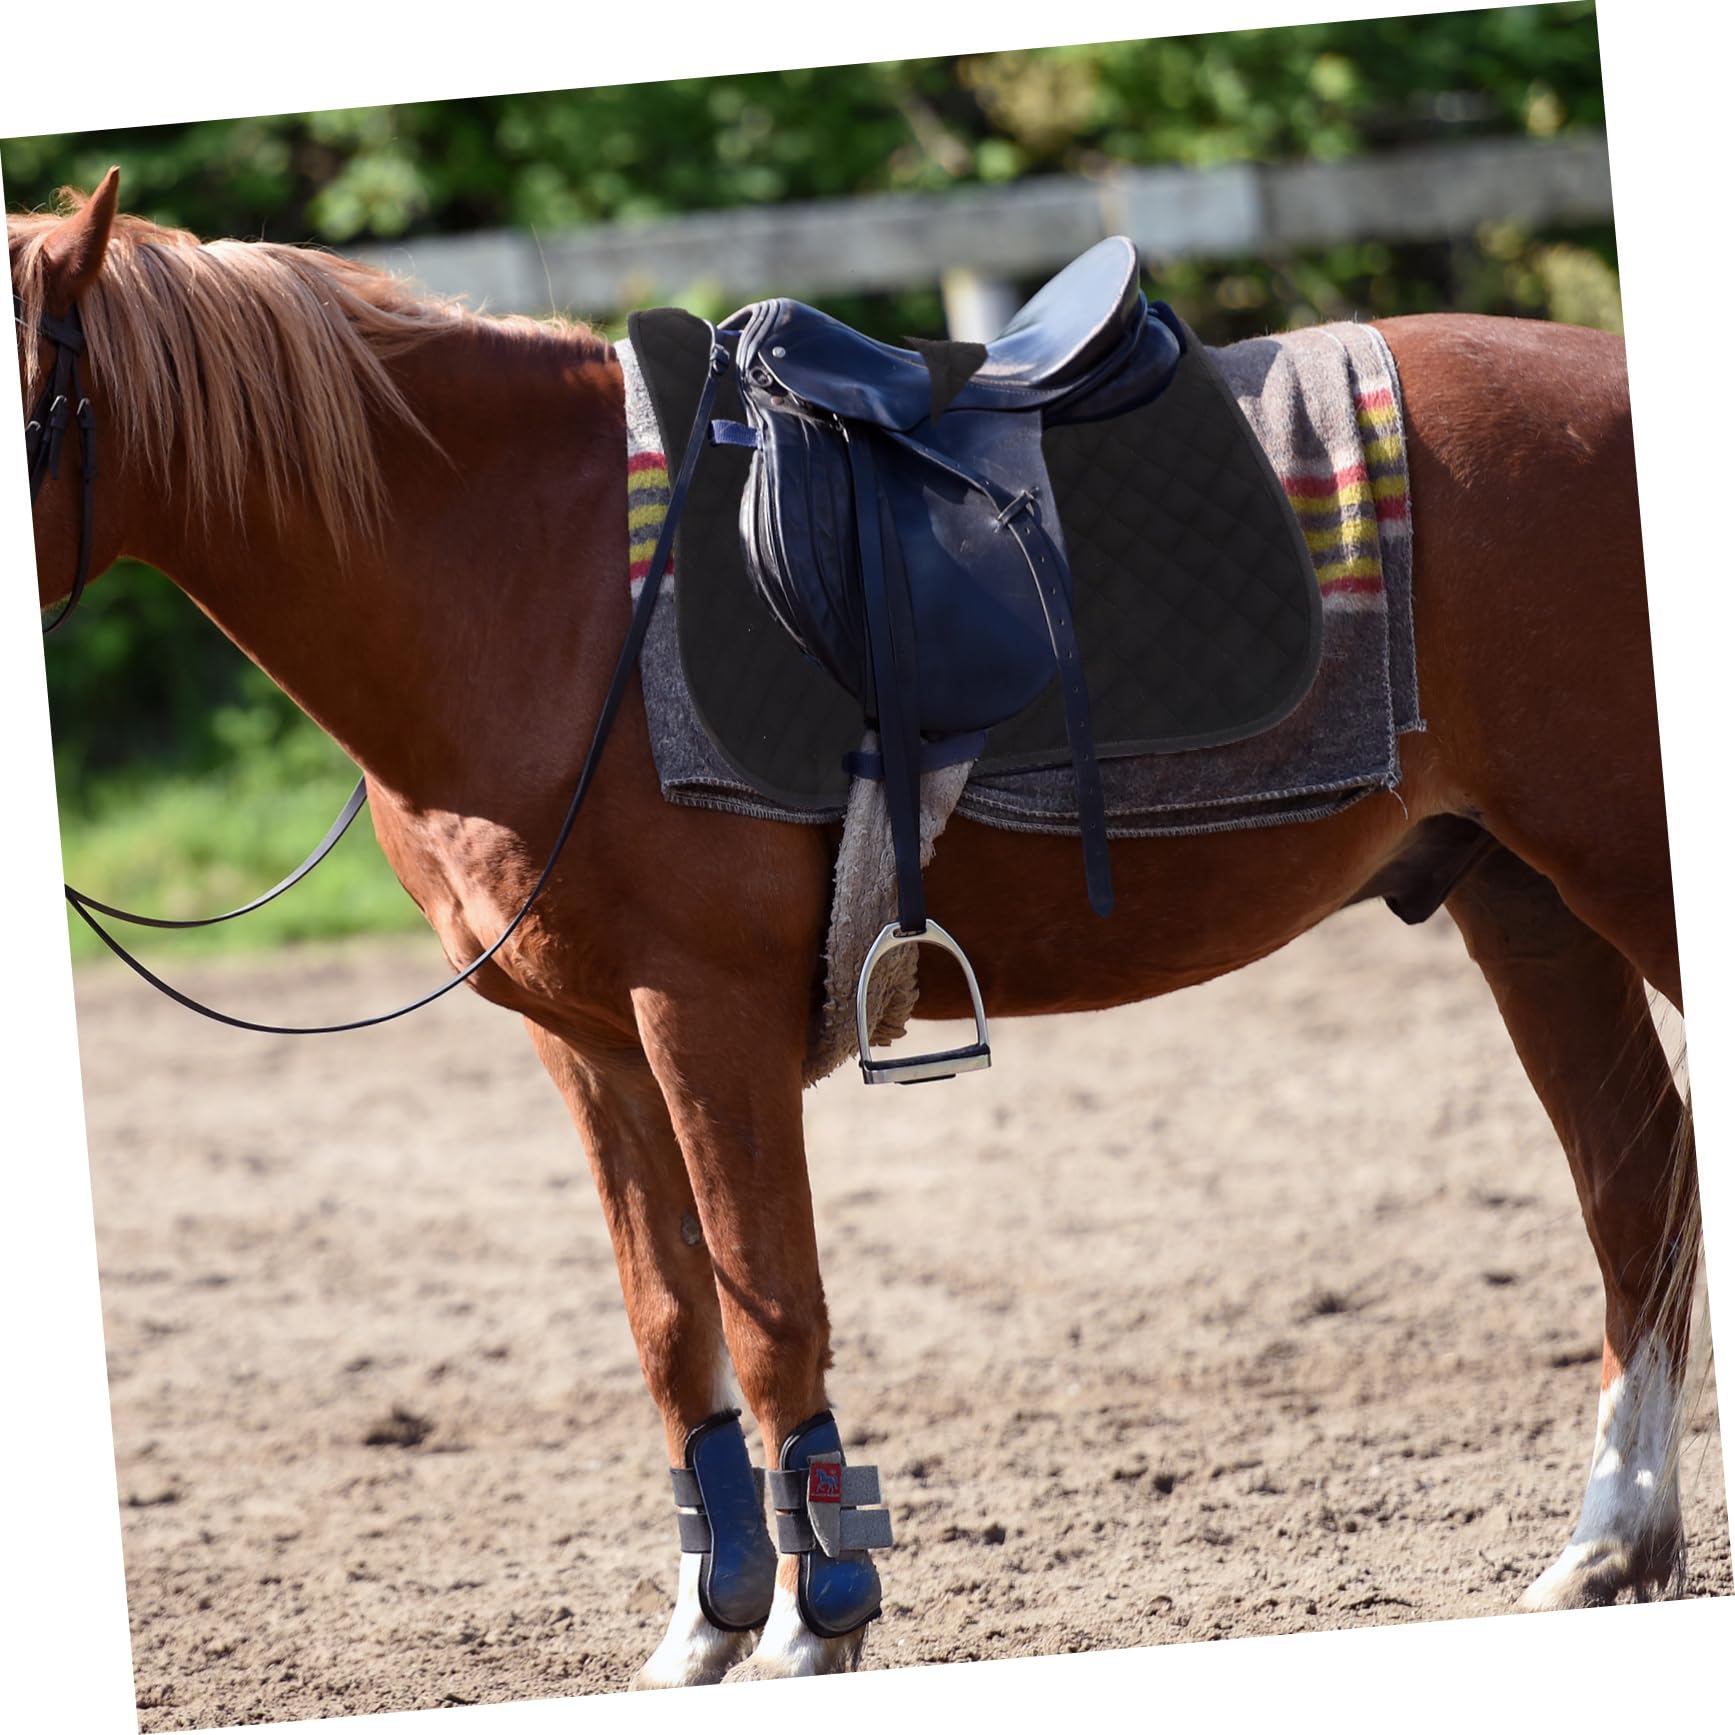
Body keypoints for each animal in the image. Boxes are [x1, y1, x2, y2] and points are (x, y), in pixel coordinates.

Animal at [12, 171, 1697, 1686]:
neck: (529, 576)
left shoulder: (702, 1017)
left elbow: (770, 1315)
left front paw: (816, 1617)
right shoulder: (587, 1046)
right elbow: (670, 1320)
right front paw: (705, 1622)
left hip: (1620, 874)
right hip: (1520, 896)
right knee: (1633, 1185)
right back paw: (1605, 1541)